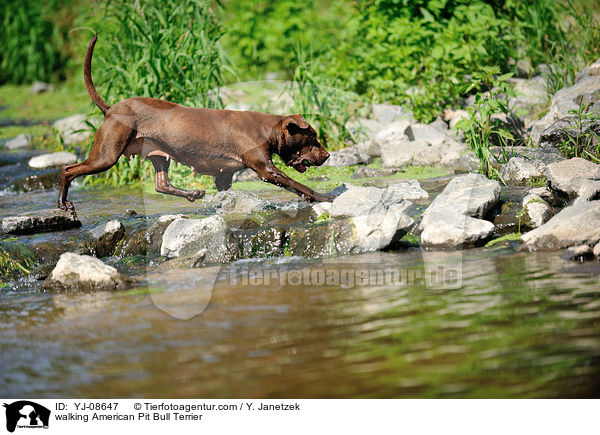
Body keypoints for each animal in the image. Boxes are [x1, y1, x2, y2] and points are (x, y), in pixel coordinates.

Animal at [58, 34, 336, 211]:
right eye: (312, 138)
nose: (327, 155)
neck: (267, 129)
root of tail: (112, 108)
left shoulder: (224, 176)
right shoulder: (267, 170)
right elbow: (299, 185)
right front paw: (324, 196)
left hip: (158, 153)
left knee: (161, 184)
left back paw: (192, 193)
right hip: (106, 156)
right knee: (68, 169)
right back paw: (63, 203)